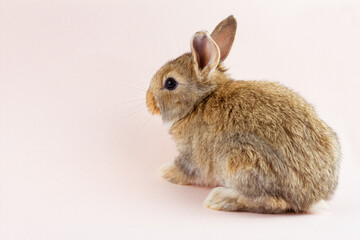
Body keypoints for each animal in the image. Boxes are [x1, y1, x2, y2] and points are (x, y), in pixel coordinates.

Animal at [145, 15, 338, 214]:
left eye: (170, 83)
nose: (148, 100)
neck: (200, 100)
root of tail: (310, 197)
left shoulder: (190, 154)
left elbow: (185, 169)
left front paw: (164, 171)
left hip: (242, 161)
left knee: (275, 202)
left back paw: (219, 199)